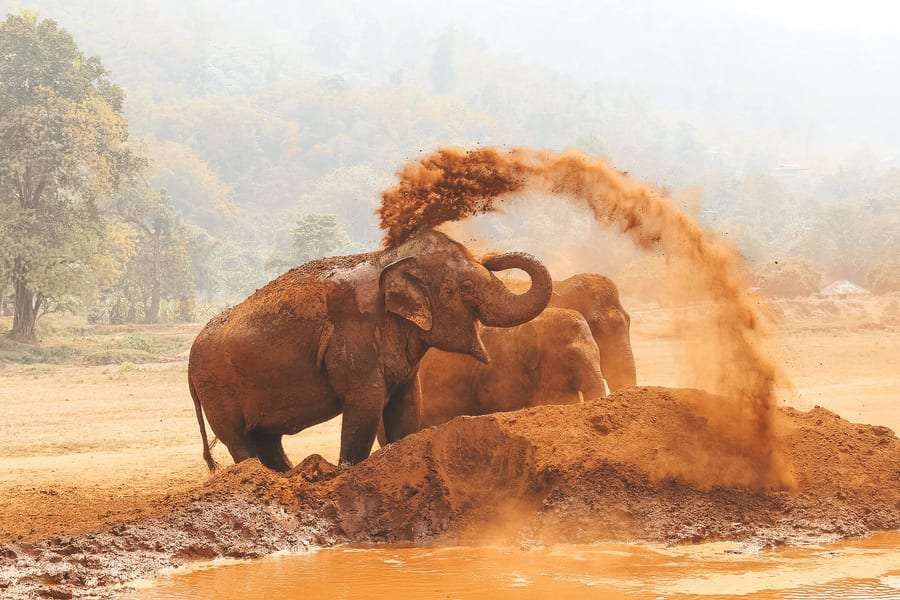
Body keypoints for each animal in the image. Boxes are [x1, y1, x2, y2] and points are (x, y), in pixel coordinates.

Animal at [188, 230, 552, 471]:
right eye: (465, 287)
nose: (493, 256)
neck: (387, 259)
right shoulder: (354, 338)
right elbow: (366, 403)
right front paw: (346, 472)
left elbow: (406, 407)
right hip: (217, 390)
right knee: (240, 440)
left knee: (267, 439)